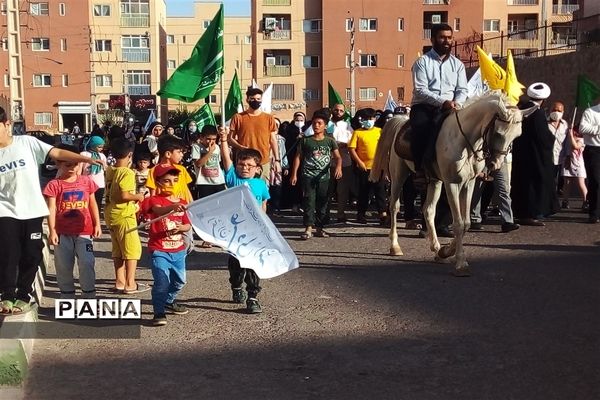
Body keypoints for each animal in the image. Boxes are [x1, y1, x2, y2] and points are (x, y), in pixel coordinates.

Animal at [370, 91, 536, 276]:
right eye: (498, 133)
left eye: (517, 135)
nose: (496, 164)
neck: (463, 141)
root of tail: (400, 121)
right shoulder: (452, 184)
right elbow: (458, 224)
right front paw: (461, 263)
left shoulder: (468, 183)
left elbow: (466, 223)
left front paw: (446, 251)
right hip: (399, 175)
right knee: (394, 207)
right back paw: (395, 246)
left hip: (435, 181)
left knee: (428, 210)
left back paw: (436, 249)